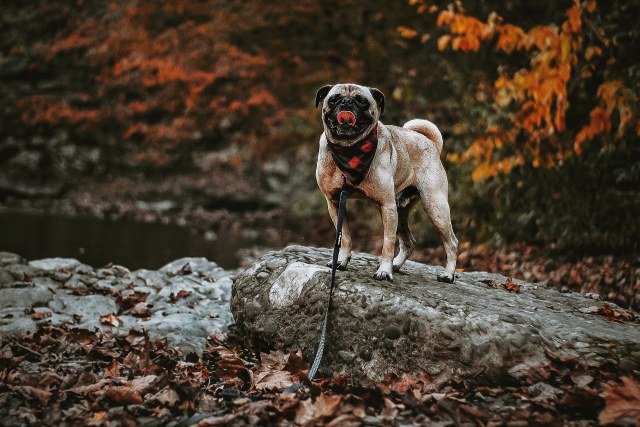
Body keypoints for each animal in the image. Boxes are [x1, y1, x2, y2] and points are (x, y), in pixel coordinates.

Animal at [314, 83, 456, 284]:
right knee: (408, 242)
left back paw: (448, 274)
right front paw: (341, 261)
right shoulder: (334, 203)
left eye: (362, 101)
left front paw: (384, 271)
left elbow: (387, 244)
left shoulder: (387, 206)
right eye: (334, 99)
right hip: (401, 210)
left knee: (451, 243)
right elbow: (346, 236)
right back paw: (396, 265)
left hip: (435, 207)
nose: (347, 102)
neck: (349, 149)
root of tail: (431, 143)